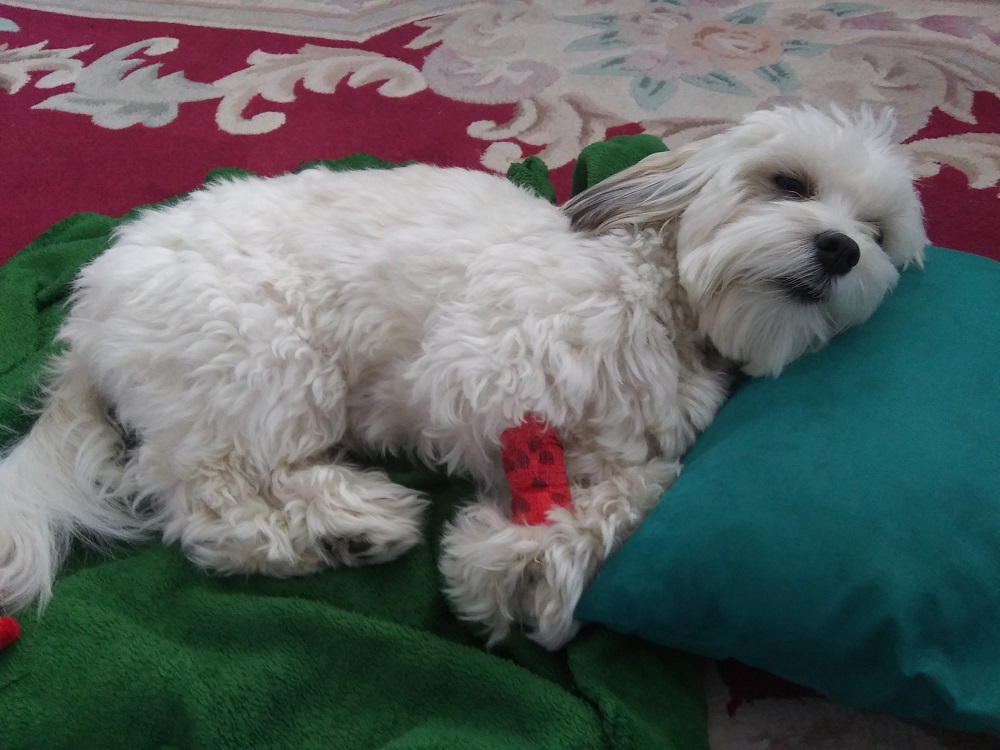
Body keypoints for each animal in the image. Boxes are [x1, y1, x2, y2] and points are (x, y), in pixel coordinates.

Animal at [0, 107, 924, 652]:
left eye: (876, 234)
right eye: (789, 182)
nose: (840, 249)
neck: (670, 302)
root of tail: (90, 307)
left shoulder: (648, 445)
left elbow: (640, 487)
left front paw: (533, 563)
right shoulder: (480, 370)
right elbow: (539, 450)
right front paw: (514, 556)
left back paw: (344, 528)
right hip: (265, 359)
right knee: (210, 500)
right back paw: (341, 524)